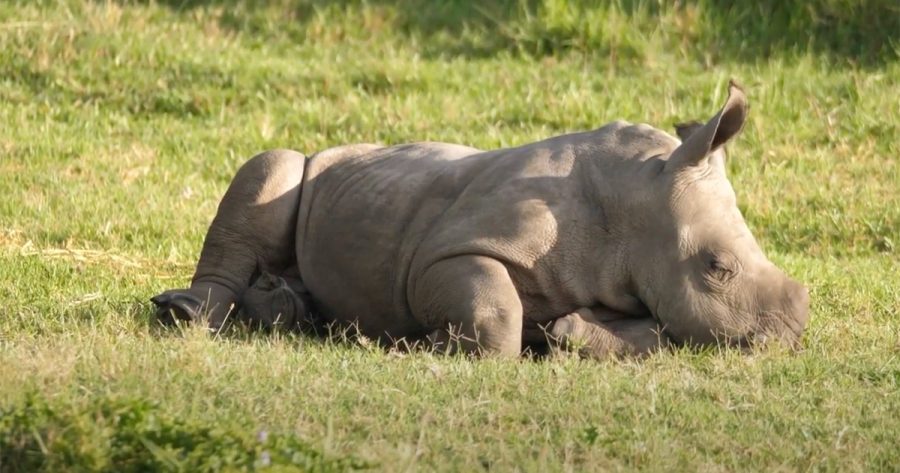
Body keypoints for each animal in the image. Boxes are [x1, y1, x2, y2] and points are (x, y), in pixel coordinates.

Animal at [152, 82, 809, 358]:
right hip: (308, 166)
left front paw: (565, 334)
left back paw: (293, 314)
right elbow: (496, 310)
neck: (631, 206)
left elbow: (654, 334)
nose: (791, 337)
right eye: (717, 268)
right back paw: (184, 313)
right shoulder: (448, 251)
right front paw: (422, 345)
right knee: (273, 166)